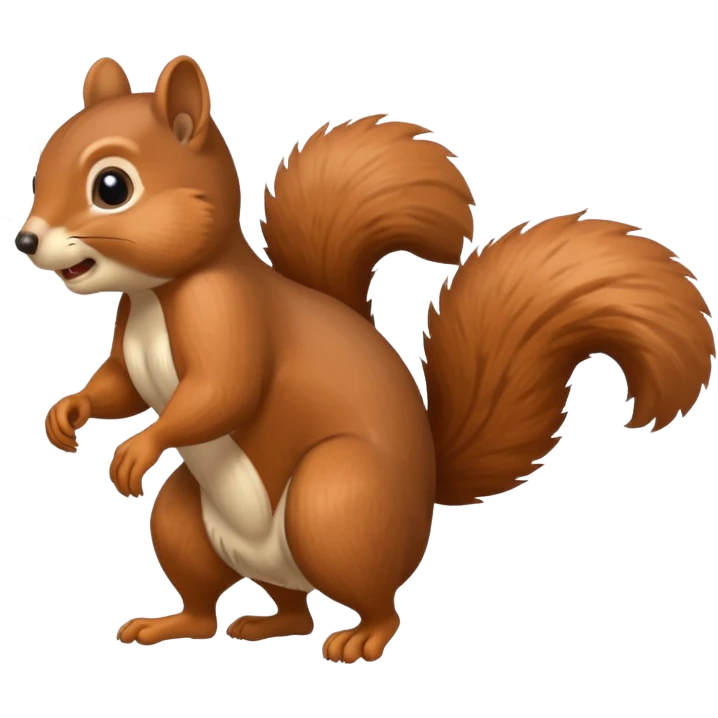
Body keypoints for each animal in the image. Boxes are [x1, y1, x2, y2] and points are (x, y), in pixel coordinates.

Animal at [17, 55, 715, 661]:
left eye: (112, 186)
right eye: (41, 163)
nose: (25, 239)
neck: (157, 293)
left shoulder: (231, 317)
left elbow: (223, 391)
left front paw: (139, 448)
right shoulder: (131, 342)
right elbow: (119, 387)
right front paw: (68, 413)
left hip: (336, 502)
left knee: (378, 603)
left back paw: (359, 639)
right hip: (189, 521)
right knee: (253, 603)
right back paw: (200, 624)